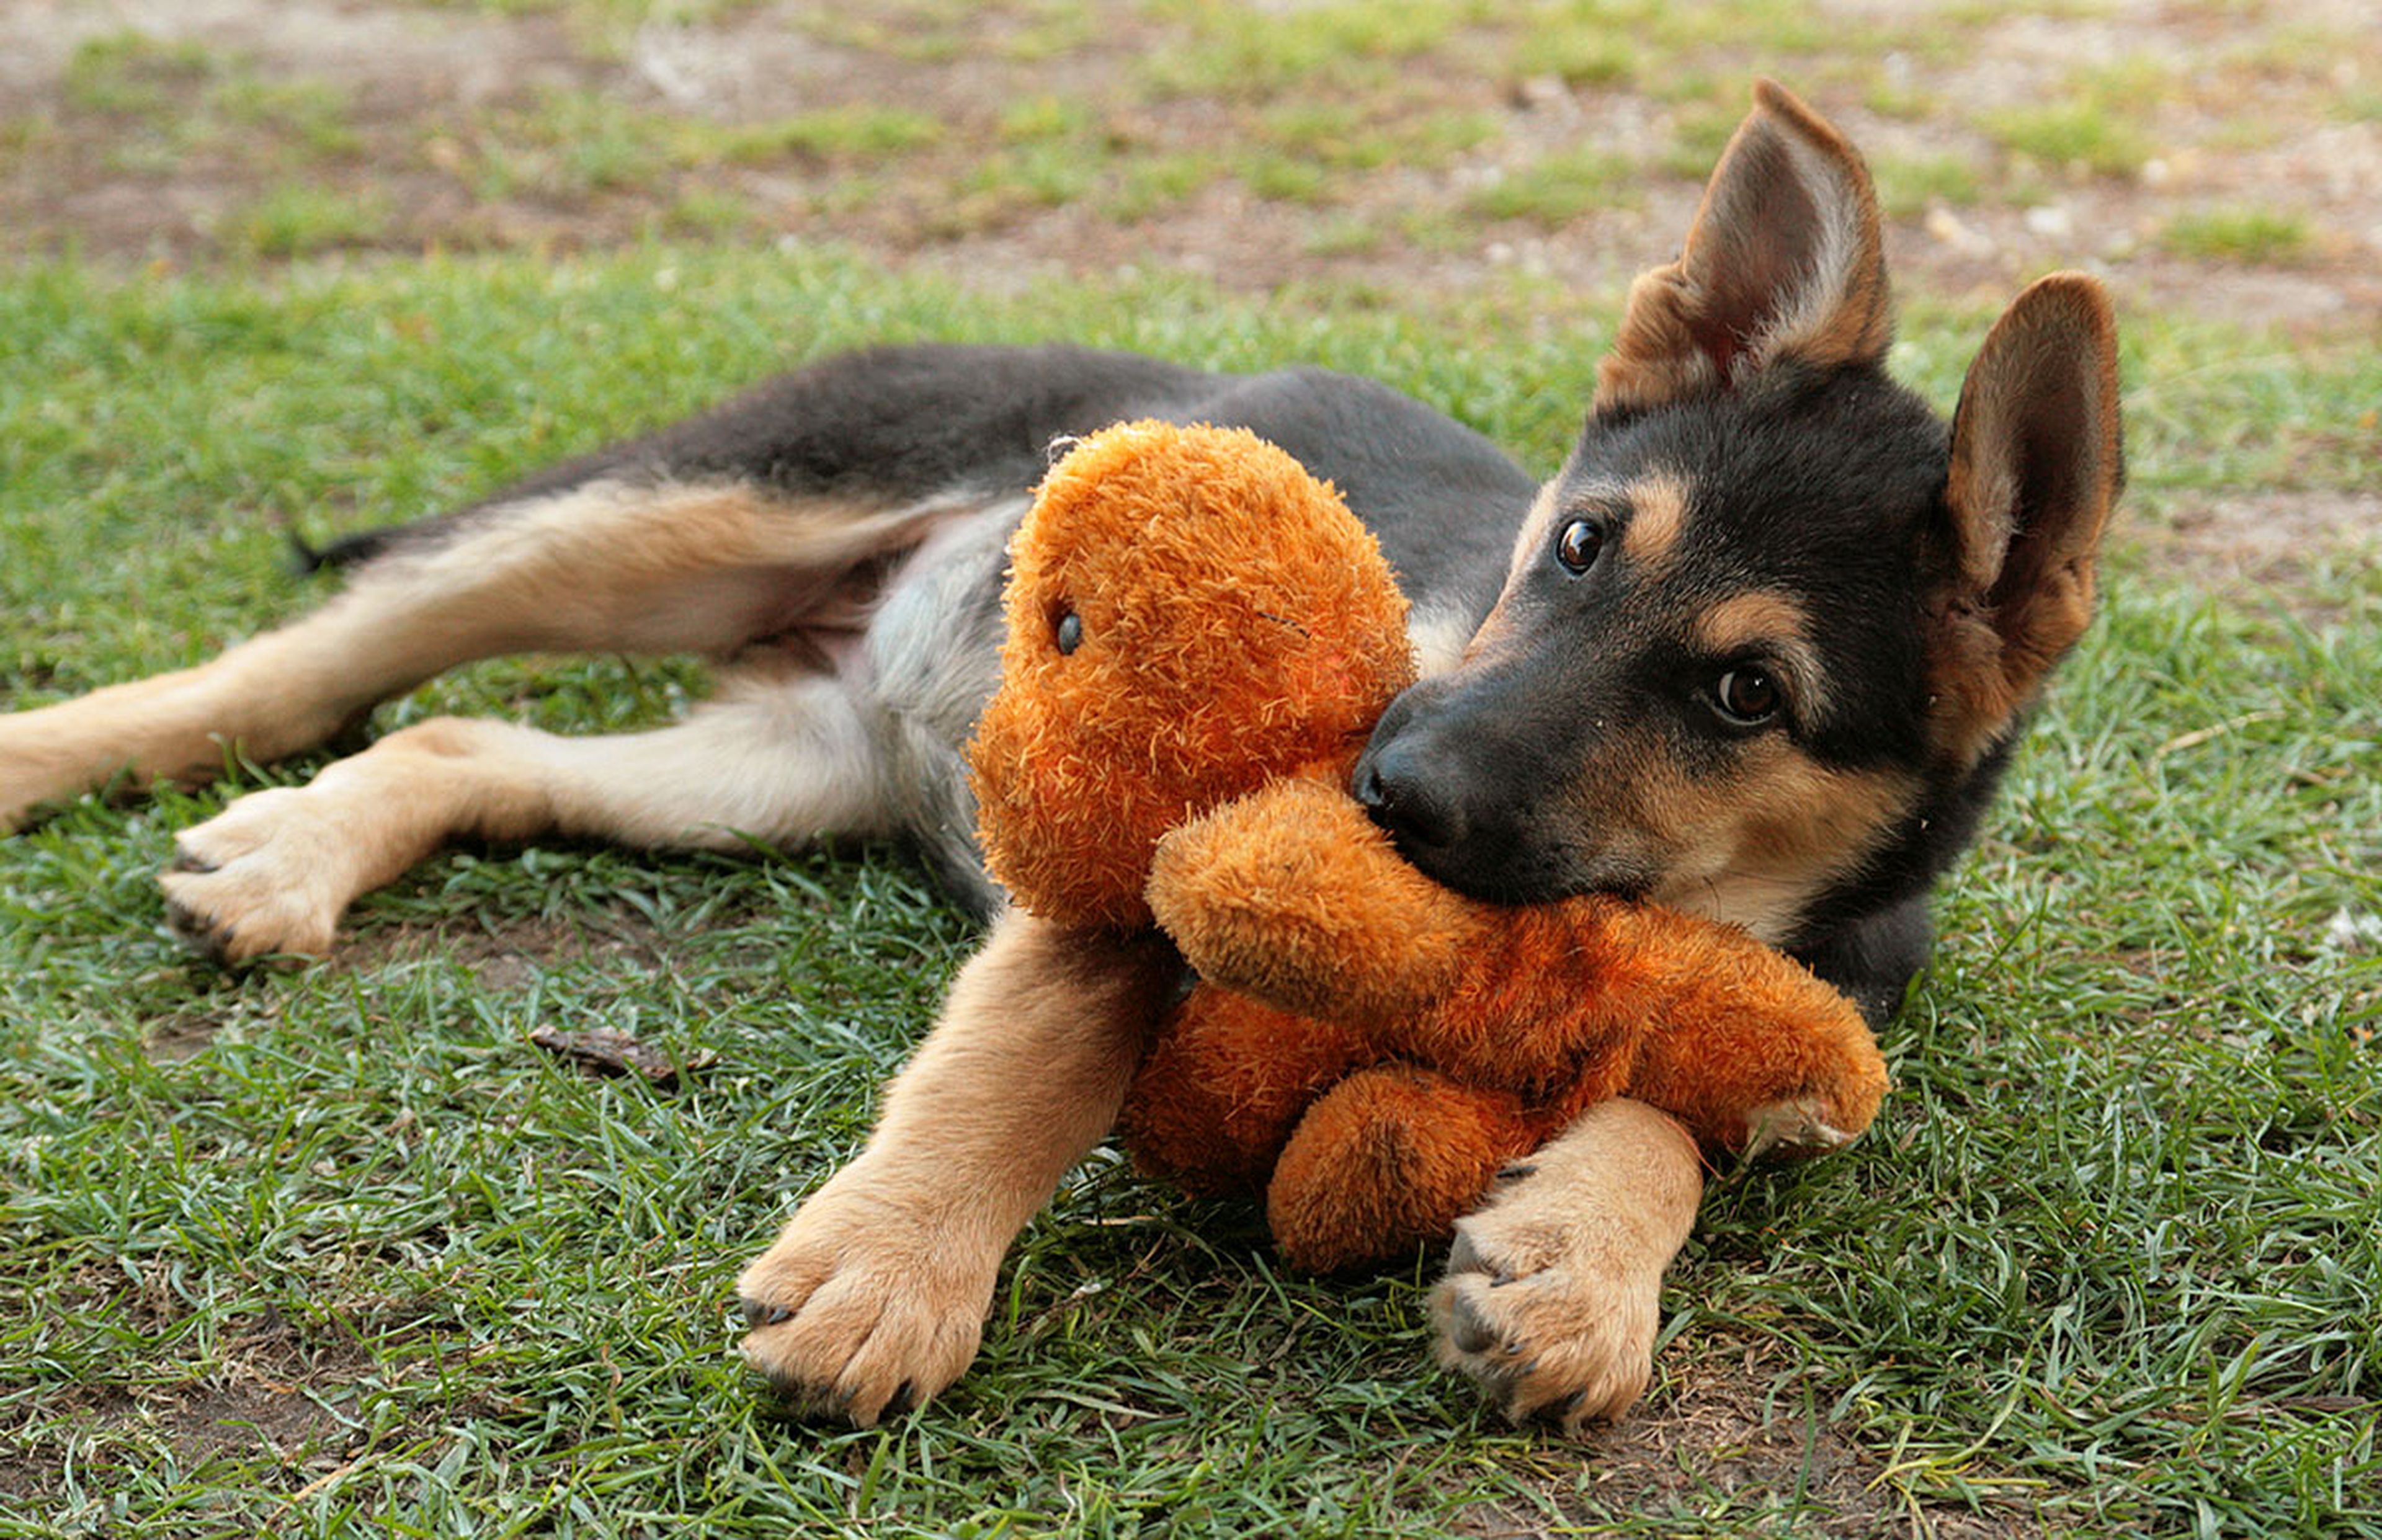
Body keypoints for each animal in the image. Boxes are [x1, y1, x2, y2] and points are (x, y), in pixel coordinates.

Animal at [0, 84, 2125, 1437]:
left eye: (1747, 696)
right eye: (1584, 541)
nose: (1384, 791)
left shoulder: (1823, 989)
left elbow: (1690, 1092)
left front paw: (1579, 1260)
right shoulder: (1138, 859)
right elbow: (1037, 1045)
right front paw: (897, 1270)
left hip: (781, 761)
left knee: (457, 733)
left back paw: (291, 857)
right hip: (698, 506)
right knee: (329, 656)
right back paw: (67, 756)